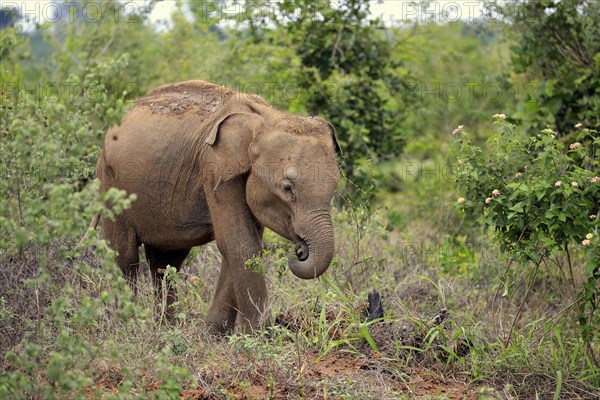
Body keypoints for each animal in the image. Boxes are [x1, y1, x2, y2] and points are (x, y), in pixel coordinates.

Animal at [96, 80, 344, 334]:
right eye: (287, 188)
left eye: (335, 186)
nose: (300, 251)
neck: (265, 119)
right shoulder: (214, 166)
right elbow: (241, 243)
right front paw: (260, 335)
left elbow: (241, 243)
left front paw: (213, 334)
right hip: (110, 184)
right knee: (125, 258)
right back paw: (127, 328)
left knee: (165, 262)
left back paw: (167, 328)